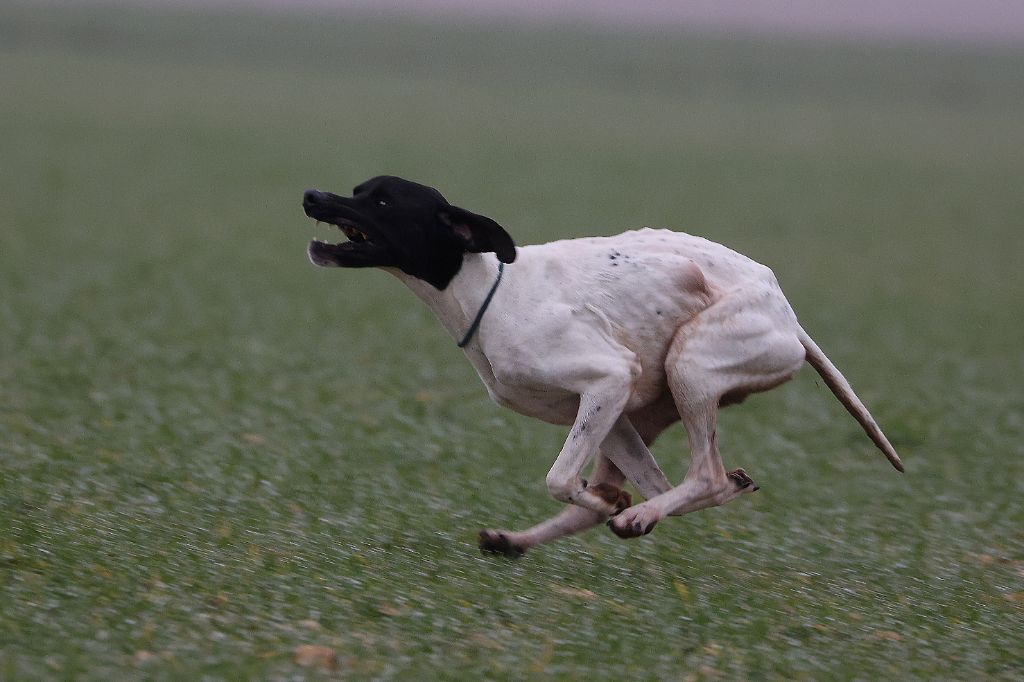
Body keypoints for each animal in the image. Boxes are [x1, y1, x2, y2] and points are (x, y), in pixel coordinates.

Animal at [303, 178, 905, 557]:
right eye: (358, 191)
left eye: (382, 201)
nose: (312, 195)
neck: (487, 290)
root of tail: (786, 312)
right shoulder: (604, 403)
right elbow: (586, 488)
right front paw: (605, 504)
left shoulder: (608, 378)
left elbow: (560, 479)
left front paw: (611, 502)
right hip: (640, 413)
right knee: (673, 485)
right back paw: (527, 539)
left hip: (690, 365)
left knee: (702, 477)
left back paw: (636, 513)